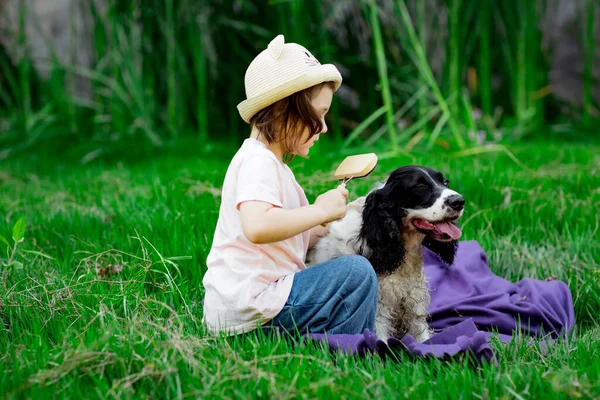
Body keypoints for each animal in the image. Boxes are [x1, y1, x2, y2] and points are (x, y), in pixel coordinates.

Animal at [308, 165, 466, 340]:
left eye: (445, 182)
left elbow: (419, 326)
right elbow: (381, 336)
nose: (459, 201)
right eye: (419, 186)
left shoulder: (413, 294)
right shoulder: (379, 304)